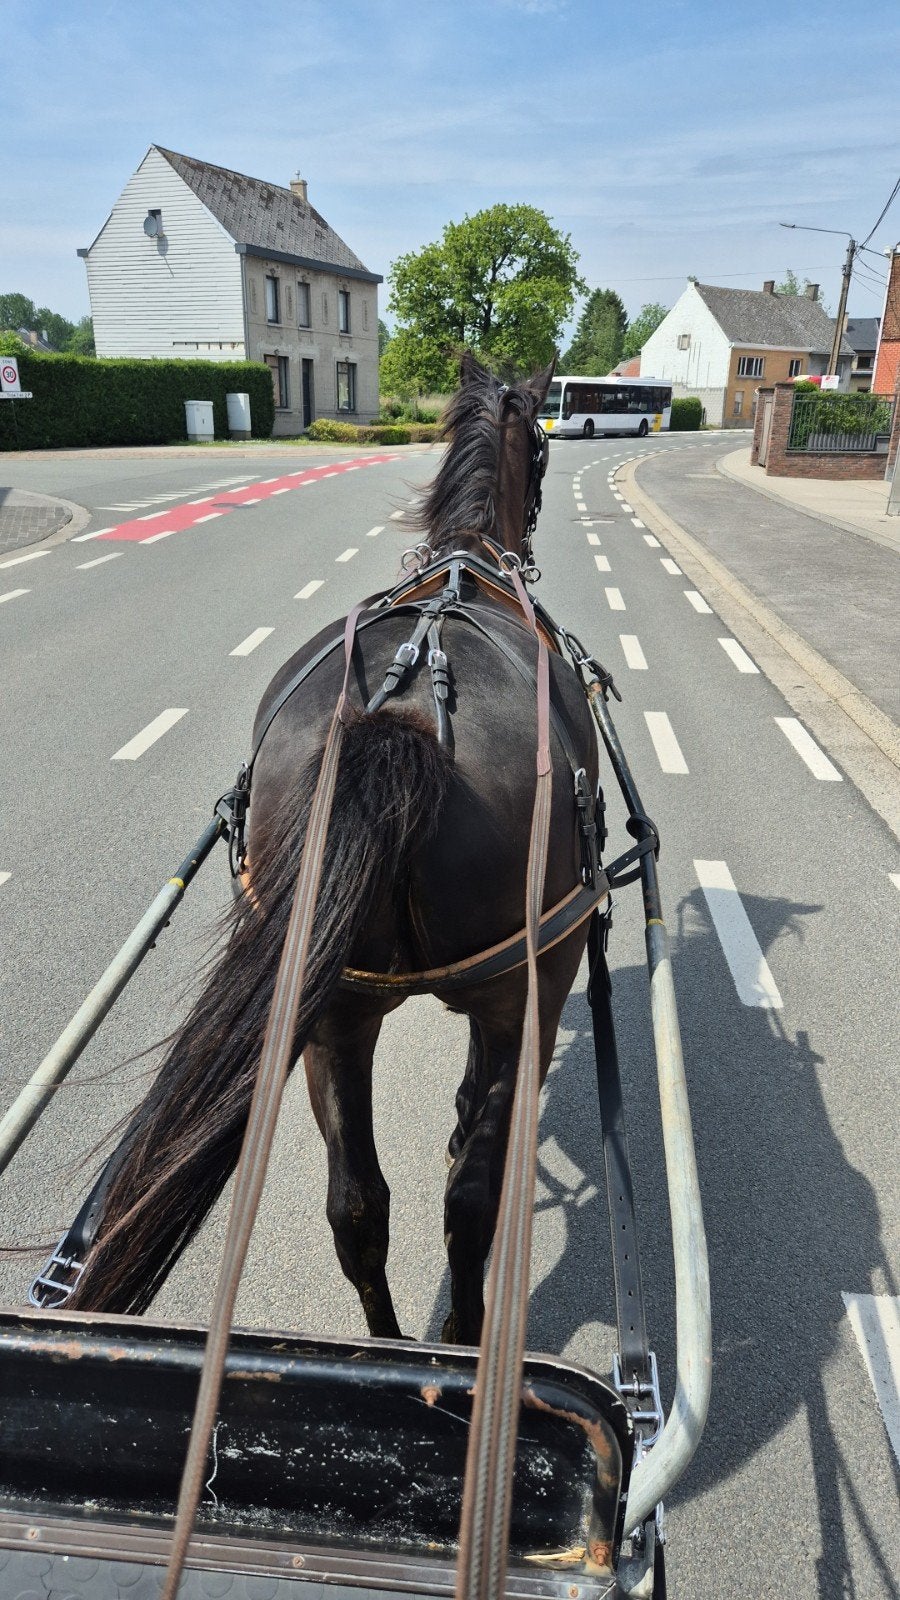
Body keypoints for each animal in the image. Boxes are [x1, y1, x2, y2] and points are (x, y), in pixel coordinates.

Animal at [65, 352, 602, 1346]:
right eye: (546, 446)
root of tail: (401, 721)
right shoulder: (519, 991)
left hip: (331, 1010)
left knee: (356, 1206)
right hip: (529, 981)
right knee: (469, 1201)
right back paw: (456, 1339)